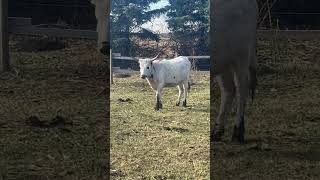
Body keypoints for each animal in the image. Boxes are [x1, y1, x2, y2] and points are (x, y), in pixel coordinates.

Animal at [211, 0, 258, 143]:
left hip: (241, 56)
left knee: (241, 88)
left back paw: (238, 131)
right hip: (223, 62)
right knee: (228, 90)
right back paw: (217, 131)